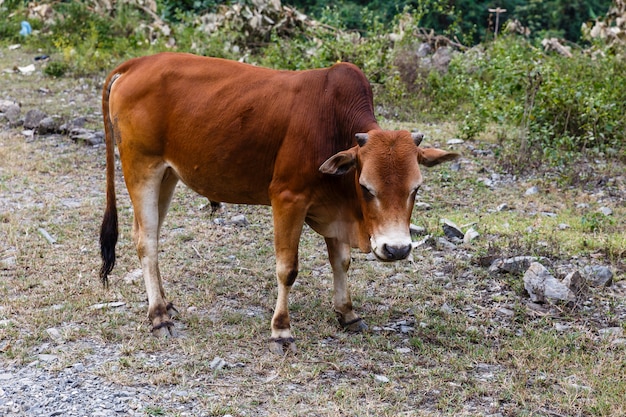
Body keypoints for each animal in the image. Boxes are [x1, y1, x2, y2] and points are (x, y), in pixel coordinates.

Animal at [98, 51, 458, 352]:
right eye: (366, 187)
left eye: (415, 189)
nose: (396, 249)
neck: (332, 125)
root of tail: (137, 63)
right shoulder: (288, 199)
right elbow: (287, 268)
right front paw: (281, 330)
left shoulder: (335, 211)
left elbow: (341, 262)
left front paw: (348, 314)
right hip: (142, 167)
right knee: (146, 241)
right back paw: (159, 316)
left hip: (167, 175)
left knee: (148, 233)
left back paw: (164, 303)